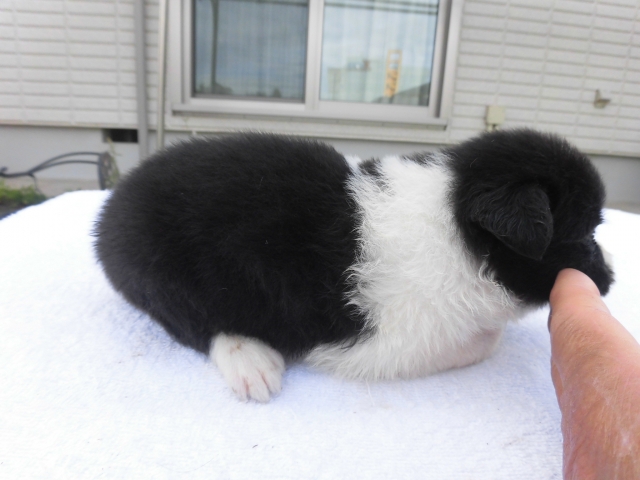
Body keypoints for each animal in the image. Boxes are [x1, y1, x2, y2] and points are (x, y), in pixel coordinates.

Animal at [94, 129, 613, 402]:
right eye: (585, 235)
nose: (611, 277)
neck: (457, 222)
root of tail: (109, 214)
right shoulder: (398, 342)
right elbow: (482, 342)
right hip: (169, 281)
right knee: (196, 325)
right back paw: (253, 365)